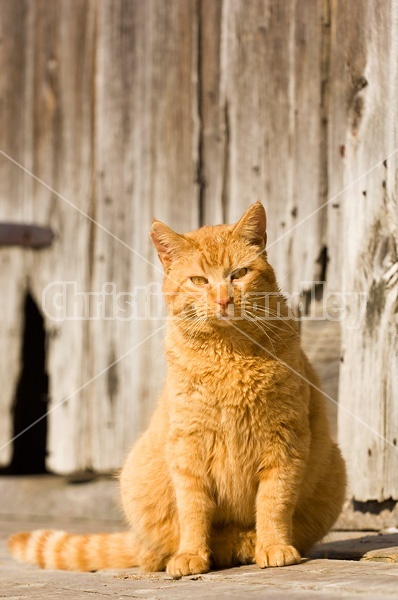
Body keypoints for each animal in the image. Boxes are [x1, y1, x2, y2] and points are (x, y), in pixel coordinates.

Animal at [8, 202, 346, 576]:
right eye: (199, 280)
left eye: (239, 273)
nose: (224, 299)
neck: (229, 354)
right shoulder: (188, 447)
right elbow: (192, 509)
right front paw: (191, 554)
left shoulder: (285, 441)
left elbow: (274, 503)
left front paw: (272, 546)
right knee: (153, 551)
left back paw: (247, 544)